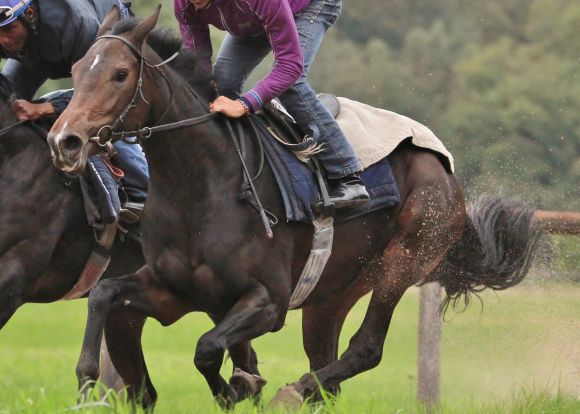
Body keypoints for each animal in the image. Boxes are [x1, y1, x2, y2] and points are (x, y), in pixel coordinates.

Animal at [47, 8, 540, 410]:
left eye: (120, 73)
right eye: (76, 68)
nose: (64, 141)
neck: (203, 187)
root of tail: (444, 168)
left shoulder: (269, 301)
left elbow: (207, 348)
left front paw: (239, 386)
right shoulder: (174, 289)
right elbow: (106, 295)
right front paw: (87, 381)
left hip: (406, 257)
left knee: (365, 347)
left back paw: (294, 389)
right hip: (332, 292)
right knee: (330, 371)